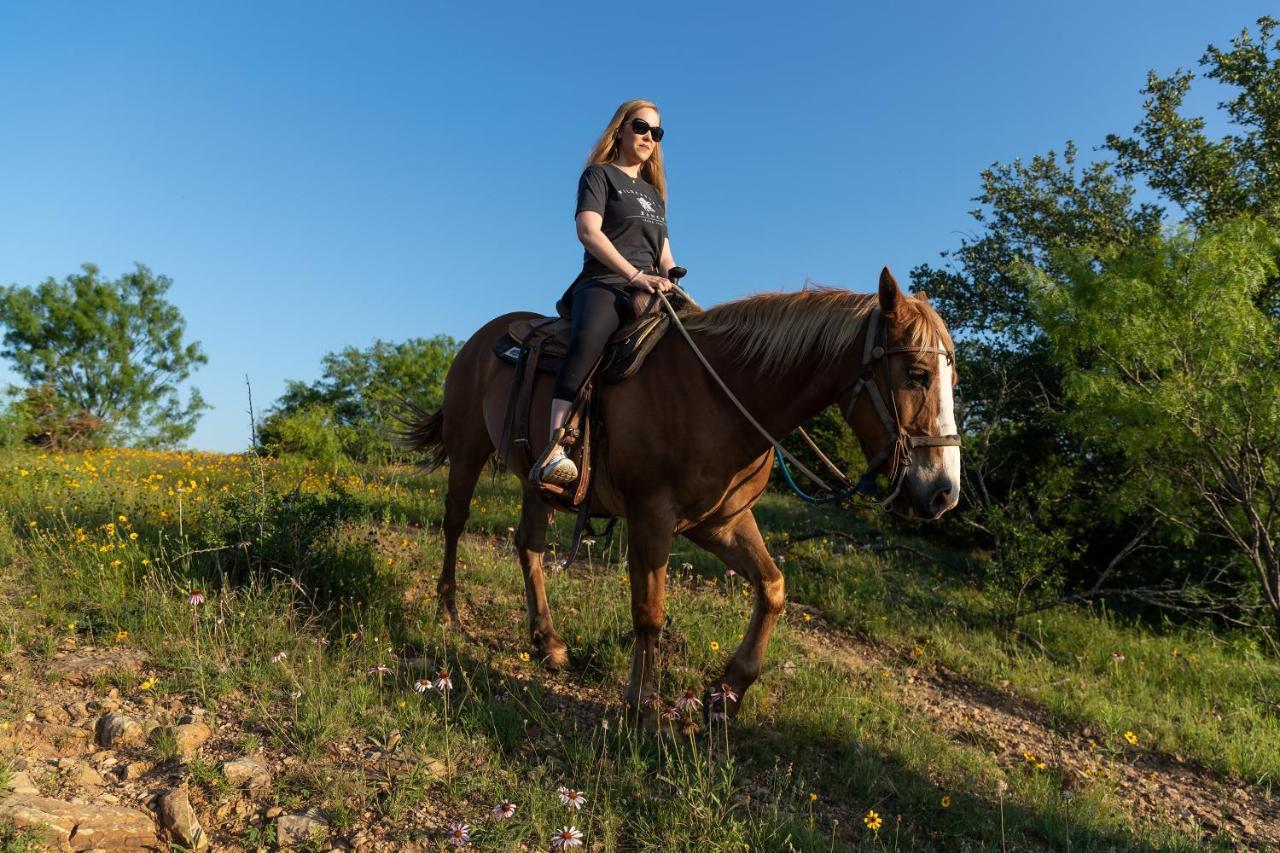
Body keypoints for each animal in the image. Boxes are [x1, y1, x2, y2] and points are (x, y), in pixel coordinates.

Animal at [401, 267, 962, 717]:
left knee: (529, 547)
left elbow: (773, 588)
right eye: (917, 373)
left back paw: (549, 644)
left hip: (533, 482)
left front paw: (727, 692)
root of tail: (486, 336)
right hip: (468, 451)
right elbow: (649, 611)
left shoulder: (721, 521)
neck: (717, 397)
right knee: (455, 522)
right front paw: (642, 703)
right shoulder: (651, 516)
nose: (943, 494)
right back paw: (448, 611)